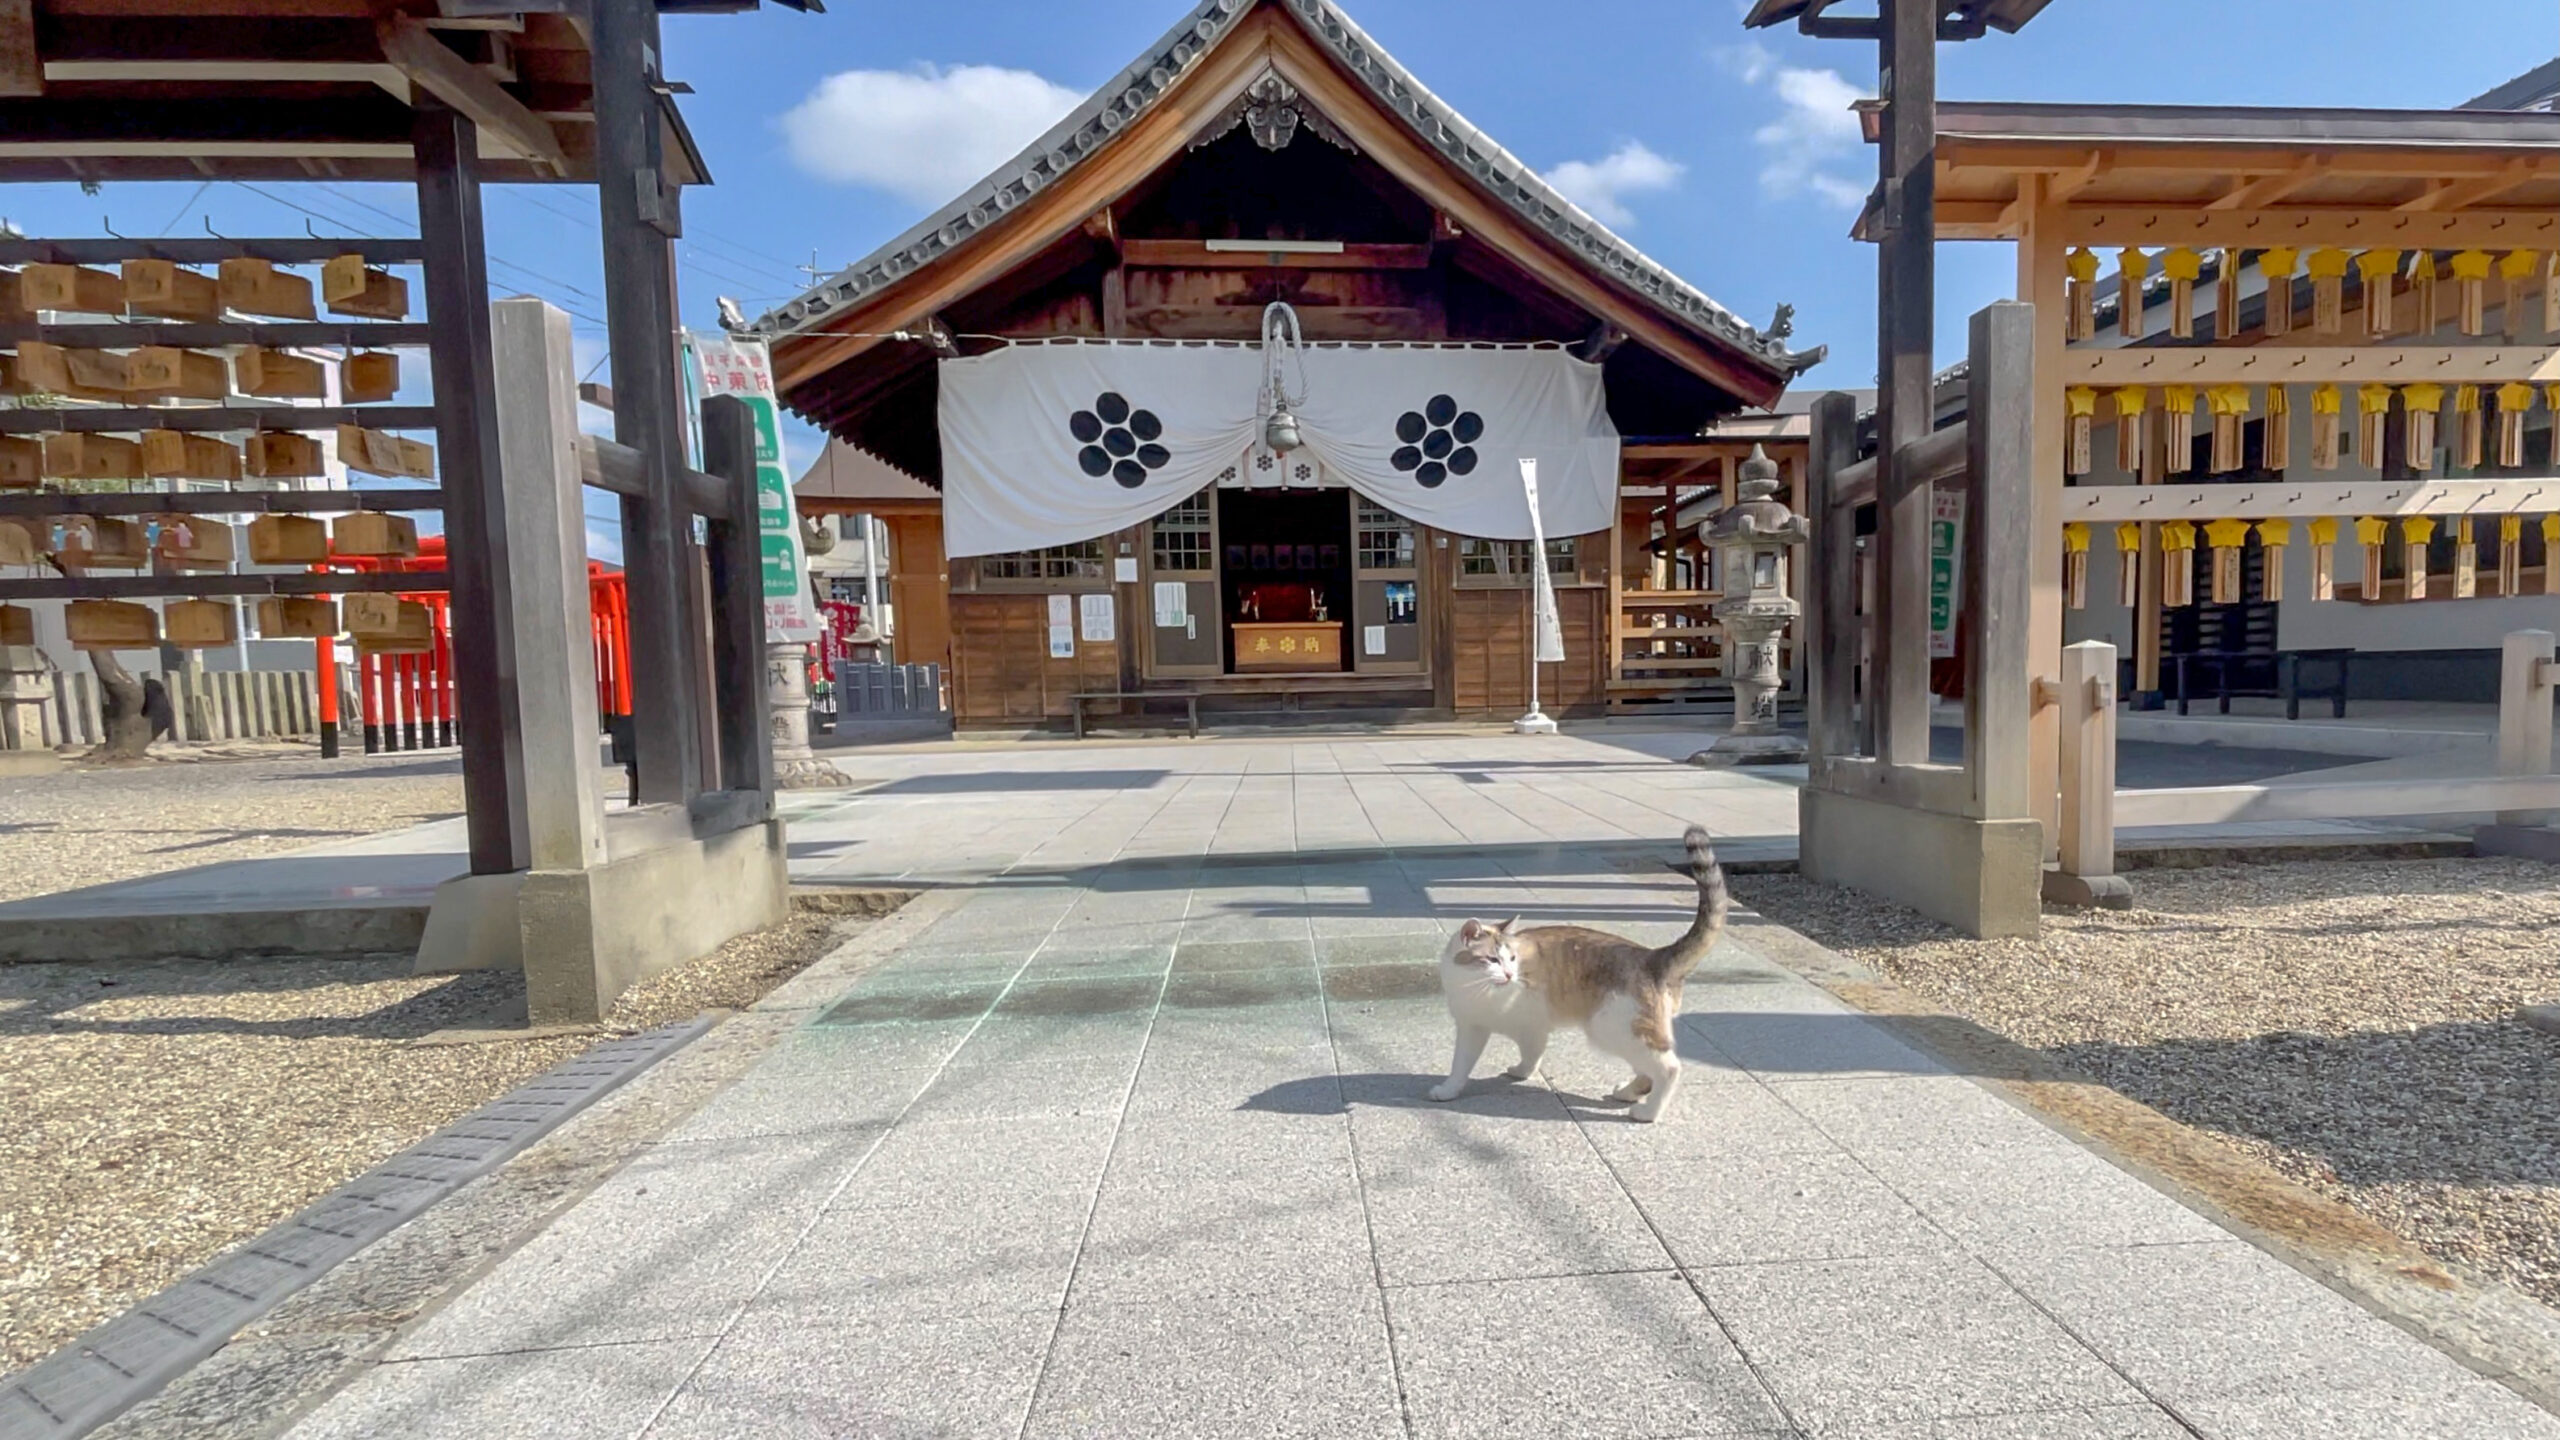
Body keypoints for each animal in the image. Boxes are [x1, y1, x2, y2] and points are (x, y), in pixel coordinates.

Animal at [1433, 819, 1730, 1122]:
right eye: (1493, 960)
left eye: (1511, 958)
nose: (1508, 975)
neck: (1475, 988)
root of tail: (1652, 955)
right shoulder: (1478, 1027)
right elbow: (1470, 1063)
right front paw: (1454, 1088)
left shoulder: (1525, 1023)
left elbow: (1526, 1052)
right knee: (1647, 1073)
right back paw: (1628, 1093)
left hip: (1615, 1030)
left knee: (1668, 1068)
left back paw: (1648, 1112)